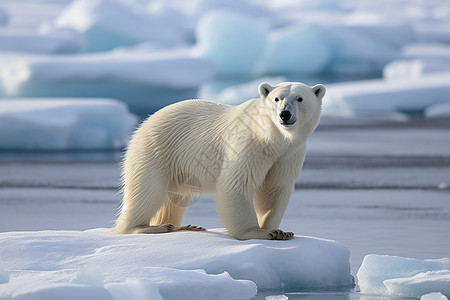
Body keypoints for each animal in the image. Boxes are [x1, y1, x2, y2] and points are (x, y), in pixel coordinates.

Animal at [112, 81, 324, 239]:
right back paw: (146, 227)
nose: (285, 114)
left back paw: (182, 226)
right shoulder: (249, 145)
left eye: (300, 98)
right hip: (155, 151)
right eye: (277, 98)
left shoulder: (288, 155)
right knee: (148, 191)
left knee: (176, 198)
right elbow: (237, 183)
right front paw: (257, 232)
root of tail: (144, 123)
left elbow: (276, 188)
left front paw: (280, 231)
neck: (273, 139)